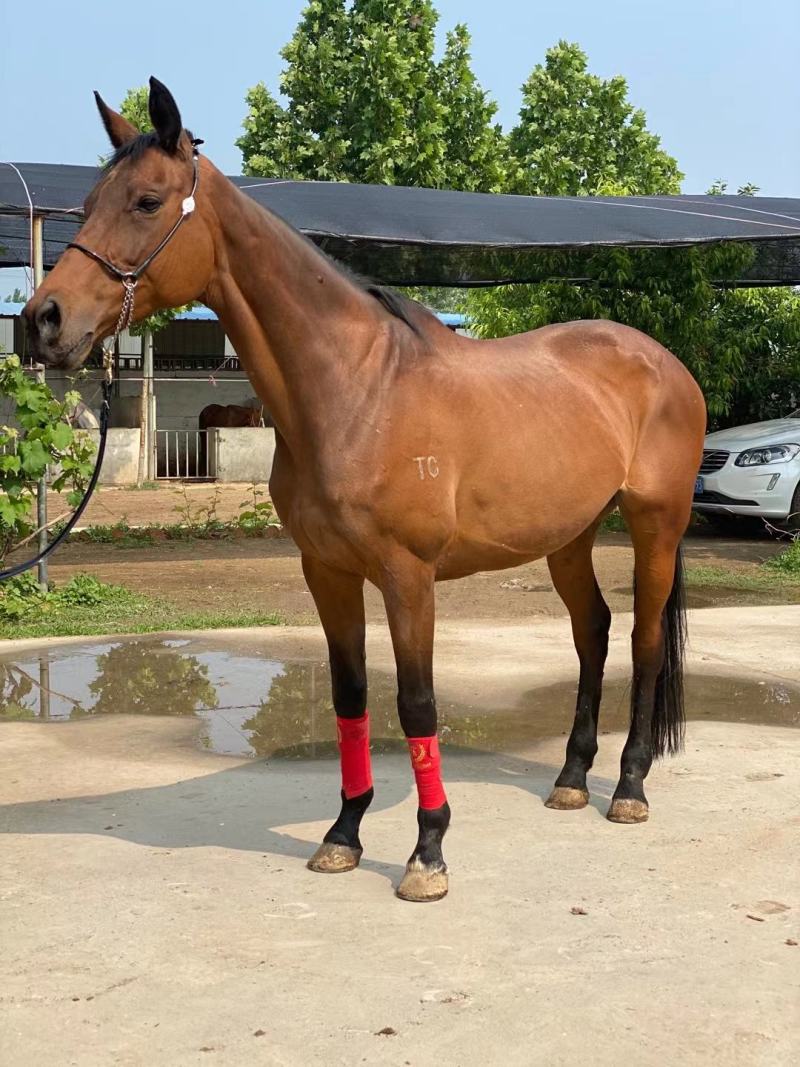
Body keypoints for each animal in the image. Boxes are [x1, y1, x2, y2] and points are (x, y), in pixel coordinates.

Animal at [23, 79, 706, 903]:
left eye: (147, 201)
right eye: (90, 201)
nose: (42, 321)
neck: (357, 390)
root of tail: (662, 361)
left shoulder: (409, 578)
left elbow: (417, 704)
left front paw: (428, 853)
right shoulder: (328, 571)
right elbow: (351, 696)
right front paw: (343, 833)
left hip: (655, 525)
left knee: (642, 641)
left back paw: (629, 787)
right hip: (569, 536)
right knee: (593, 632)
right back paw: (572, 778)